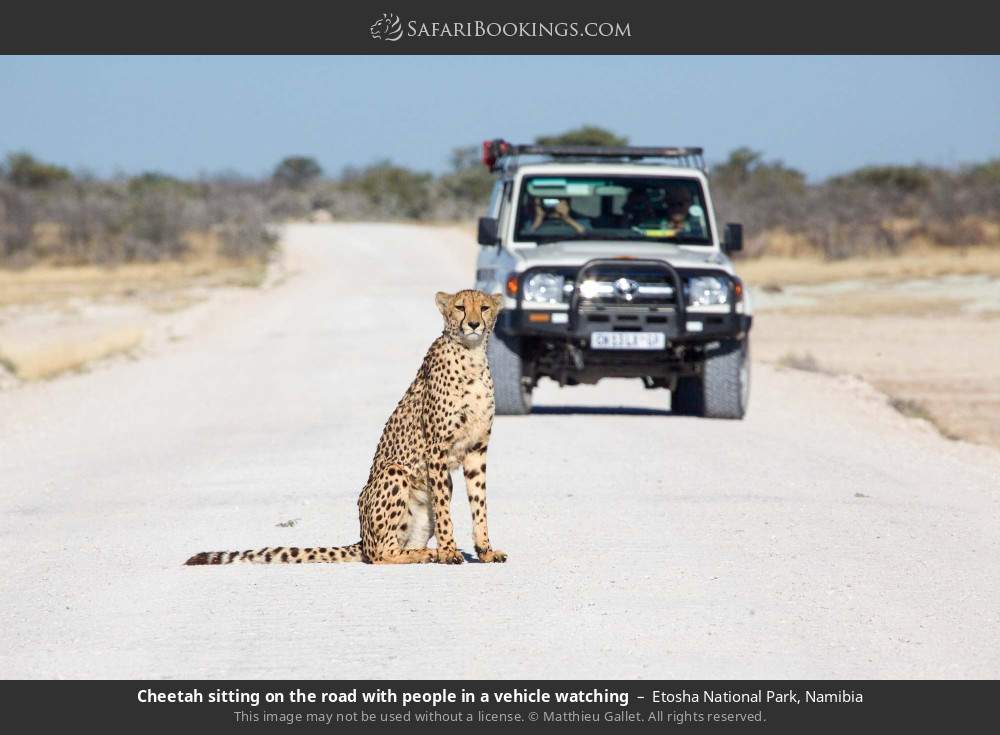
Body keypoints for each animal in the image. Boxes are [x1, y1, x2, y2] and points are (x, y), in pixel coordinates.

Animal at [185, 289, 507, 566]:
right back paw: (427, 554)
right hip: (395, 472)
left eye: (484, 307)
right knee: (381, 554)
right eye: (460, 307)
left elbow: (479, 503)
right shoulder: (436, 450)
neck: (472, 355)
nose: (474, 324)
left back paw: (423, 552)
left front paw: (485, 550)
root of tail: (363, 538)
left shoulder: (477, 450)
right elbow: (443, 510)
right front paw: (450, 551)